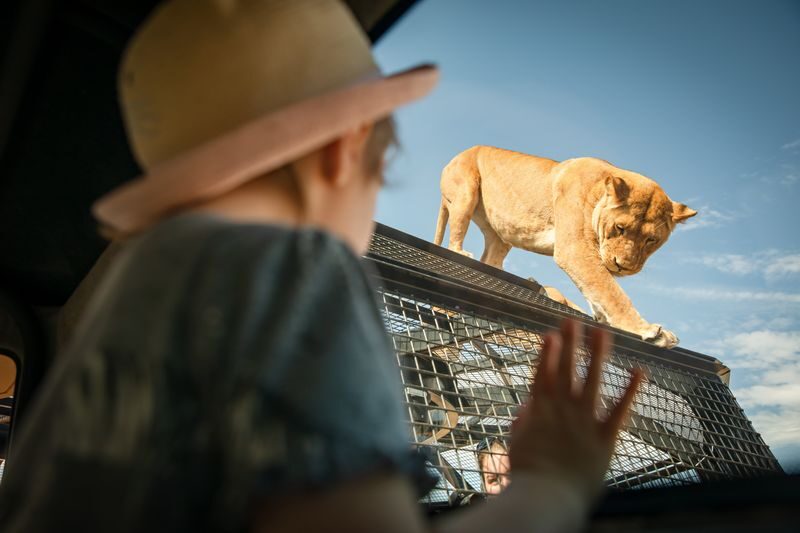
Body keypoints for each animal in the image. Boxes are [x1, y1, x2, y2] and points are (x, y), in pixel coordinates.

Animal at [433, 146, 697, 348]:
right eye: (620, 228)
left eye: (652, 240)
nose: (623, 266)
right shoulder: (574, 249)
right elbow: (611, 291)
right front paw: (649, 331)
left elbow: (597, 288)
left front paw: (601, 317)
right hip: (465, 192)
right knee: (455, 238)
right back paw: (461, 253)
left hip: (500, 236)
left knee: (490, 258)